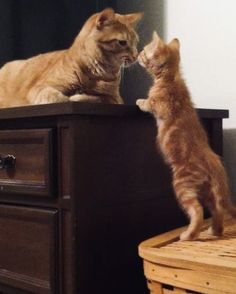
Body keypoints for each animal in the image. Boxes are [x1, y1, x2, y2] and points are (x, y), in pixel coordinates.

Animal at [0, 7, 142, 107]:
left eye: (136, 43)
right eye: (122, 42)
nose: (136, 56)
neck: (93, 74)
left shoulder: (114, 99)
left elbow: (97, 98)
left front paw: (79, 96)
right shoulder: (40, 88)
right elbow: (61, 98)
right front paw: (70, 97)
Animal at [136, 32, 236, 241]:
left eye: (143, 51)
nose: (136, 53)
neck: (170, 78)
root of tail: (214, 161)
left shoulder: (159, 104)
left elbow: (149, 103)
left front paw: (140, 101)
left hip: (182, 185)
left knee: (197, 211)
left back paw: (188, 235)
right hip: (207, 190)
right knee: (216, 210)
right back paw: (214, 231)